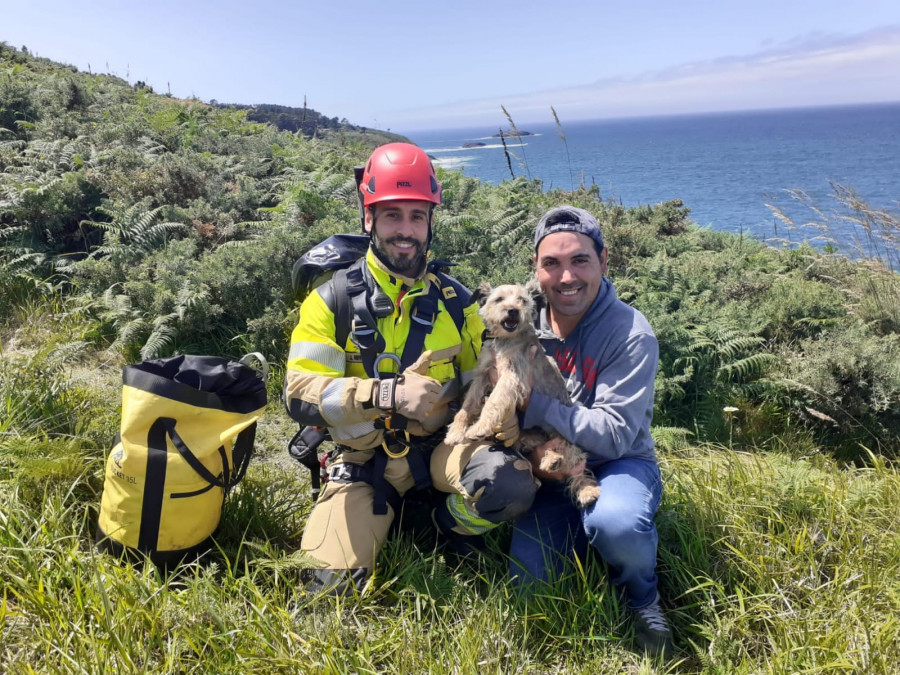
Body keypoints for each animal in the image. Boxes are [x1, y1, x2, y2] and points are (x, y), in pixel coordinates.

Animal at [446, 282, 600, 508]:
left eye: (523, 300)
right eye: (499, 299)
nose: (513, 311)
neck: (505, 340)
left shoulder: (512, 376)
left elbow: (492, 402)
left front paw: (480, 427)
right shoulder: (483, 374)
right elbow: (469, 404)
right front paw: (456, 431)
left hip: (565, 431)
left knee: (572, 452)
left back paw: (557, 462)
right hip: (532, 437)